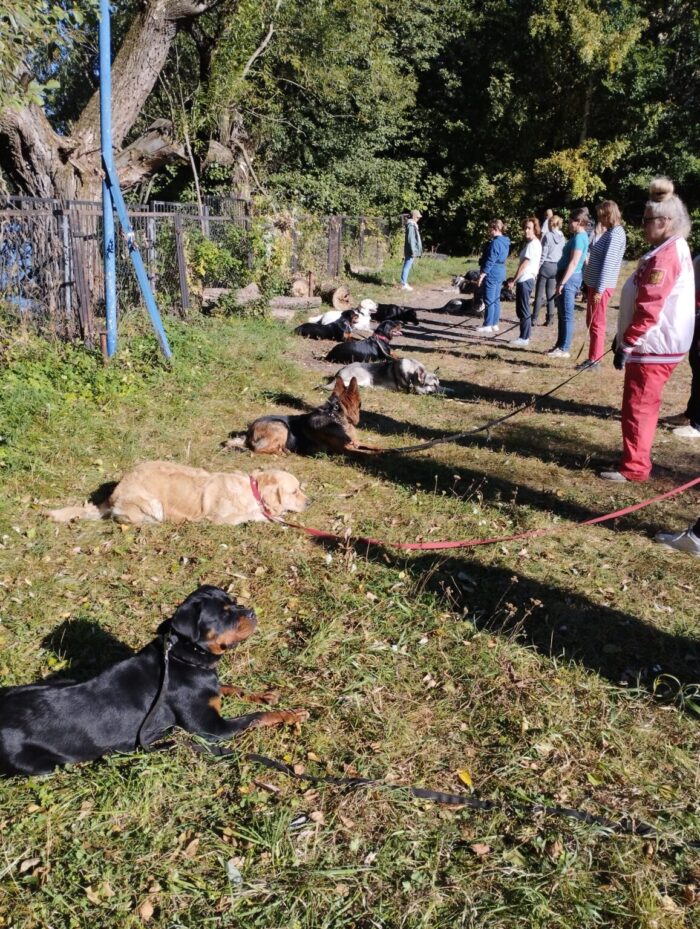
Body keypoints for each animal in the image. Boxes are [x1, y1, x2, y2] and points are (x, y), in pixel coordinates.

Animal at [0, 588, 308, 776]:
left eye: (234, 603)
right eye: (223, 614)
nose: (252, 612)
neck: (184, 656)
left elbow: (231, 688)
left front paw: (266, 695)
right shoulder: (211, 729)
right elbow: (255, 717)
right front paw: (290, 715)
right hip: (42, 764)